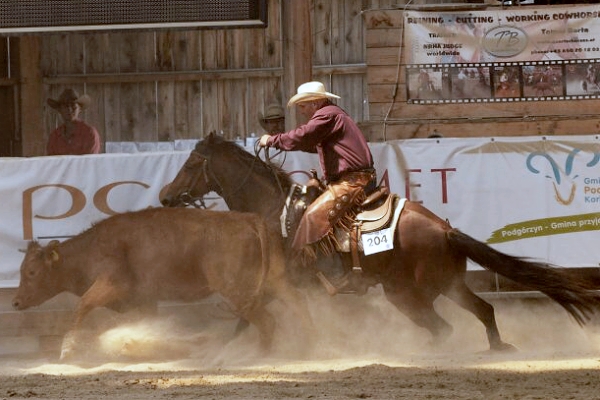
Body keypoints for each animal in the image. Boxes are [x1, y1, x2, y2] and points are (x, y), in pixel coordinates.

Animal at [12, 208, 314, 360]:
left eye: (32, 272)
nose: (15, 301)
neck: (93, 248)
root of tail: (251, 220)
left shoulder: (114, 283)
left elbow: (83, 304)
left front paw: (68, 348)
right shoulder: (145, 299)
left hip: (238, 290)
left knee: (267, 321)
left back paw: (258, 355)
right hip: (275, 280)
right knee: (299, 304)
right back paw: (311, 342)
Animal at [161, 133, 600, 352]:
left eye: (190, 163)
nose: (165, 196)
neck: (274, 211)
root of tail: (445, 230)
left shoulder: (277, 284)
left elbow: (246, 320)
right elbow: (246, 322)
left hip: (405, 294)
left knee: (444, 329)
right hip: (449, 285)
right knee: (485, 311)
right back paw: (498, 349)